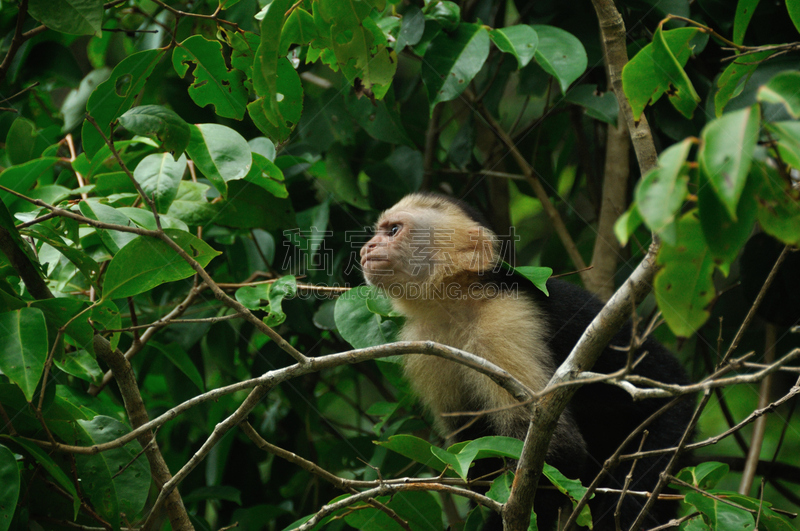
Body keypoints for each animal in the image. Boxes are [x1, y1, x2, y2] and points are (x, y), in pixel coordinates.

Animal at [360, 193, 692, 531]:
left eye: (393, 230)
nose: (366, 247)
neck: (458, 305)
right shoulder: (426, 345)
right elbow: (473, 448)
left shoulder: (504, 322)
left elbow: (557, 450)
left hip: (671, 423)